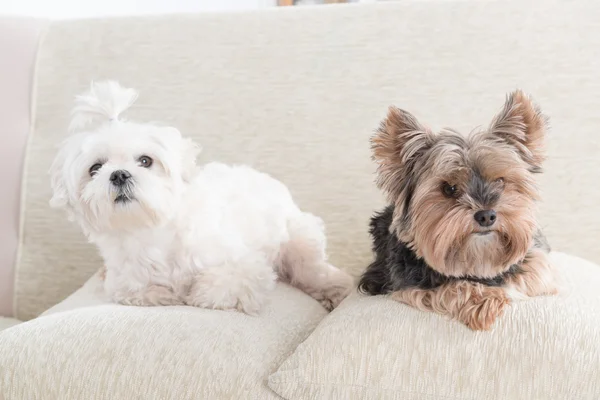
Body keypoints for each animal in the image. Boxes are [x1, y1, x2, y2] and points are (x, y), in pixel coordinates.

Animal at [51, 79, 354, 314]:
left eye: (146, 160)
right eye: (95, 168)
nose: (119, 175)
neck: (151, 233)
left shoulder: (244, 268)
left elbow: (217, 287)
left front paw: (194, 294)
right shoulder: (125, 282)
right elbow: (138, 291)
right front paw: (165, 294)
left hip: (299, 243)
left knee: (315, 272)